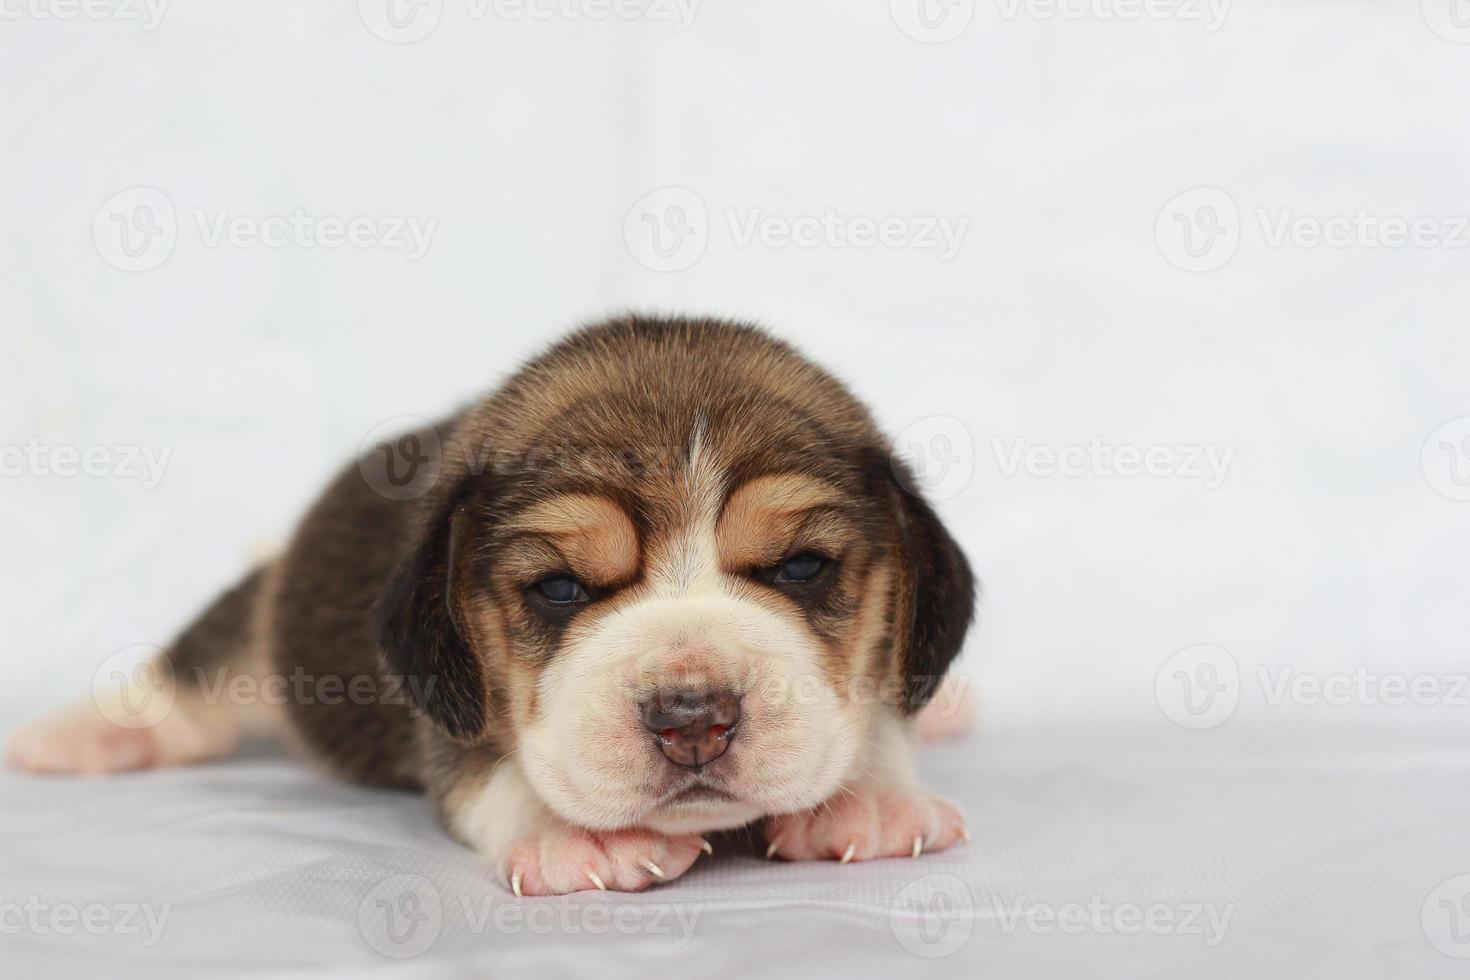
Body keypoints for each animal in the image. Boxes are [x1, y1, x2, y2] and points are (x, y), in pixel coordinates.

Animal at [11, 315, 981, 899]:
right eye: (559, 588)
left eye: (802, 568)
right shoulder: (441, 706)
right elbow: (493, 772)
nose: (692, 719)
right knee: (203, 669)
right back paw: (90, 733)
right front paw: (574, 835)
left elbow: (872, 719)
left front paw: (868, 795)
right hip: (264, 631)